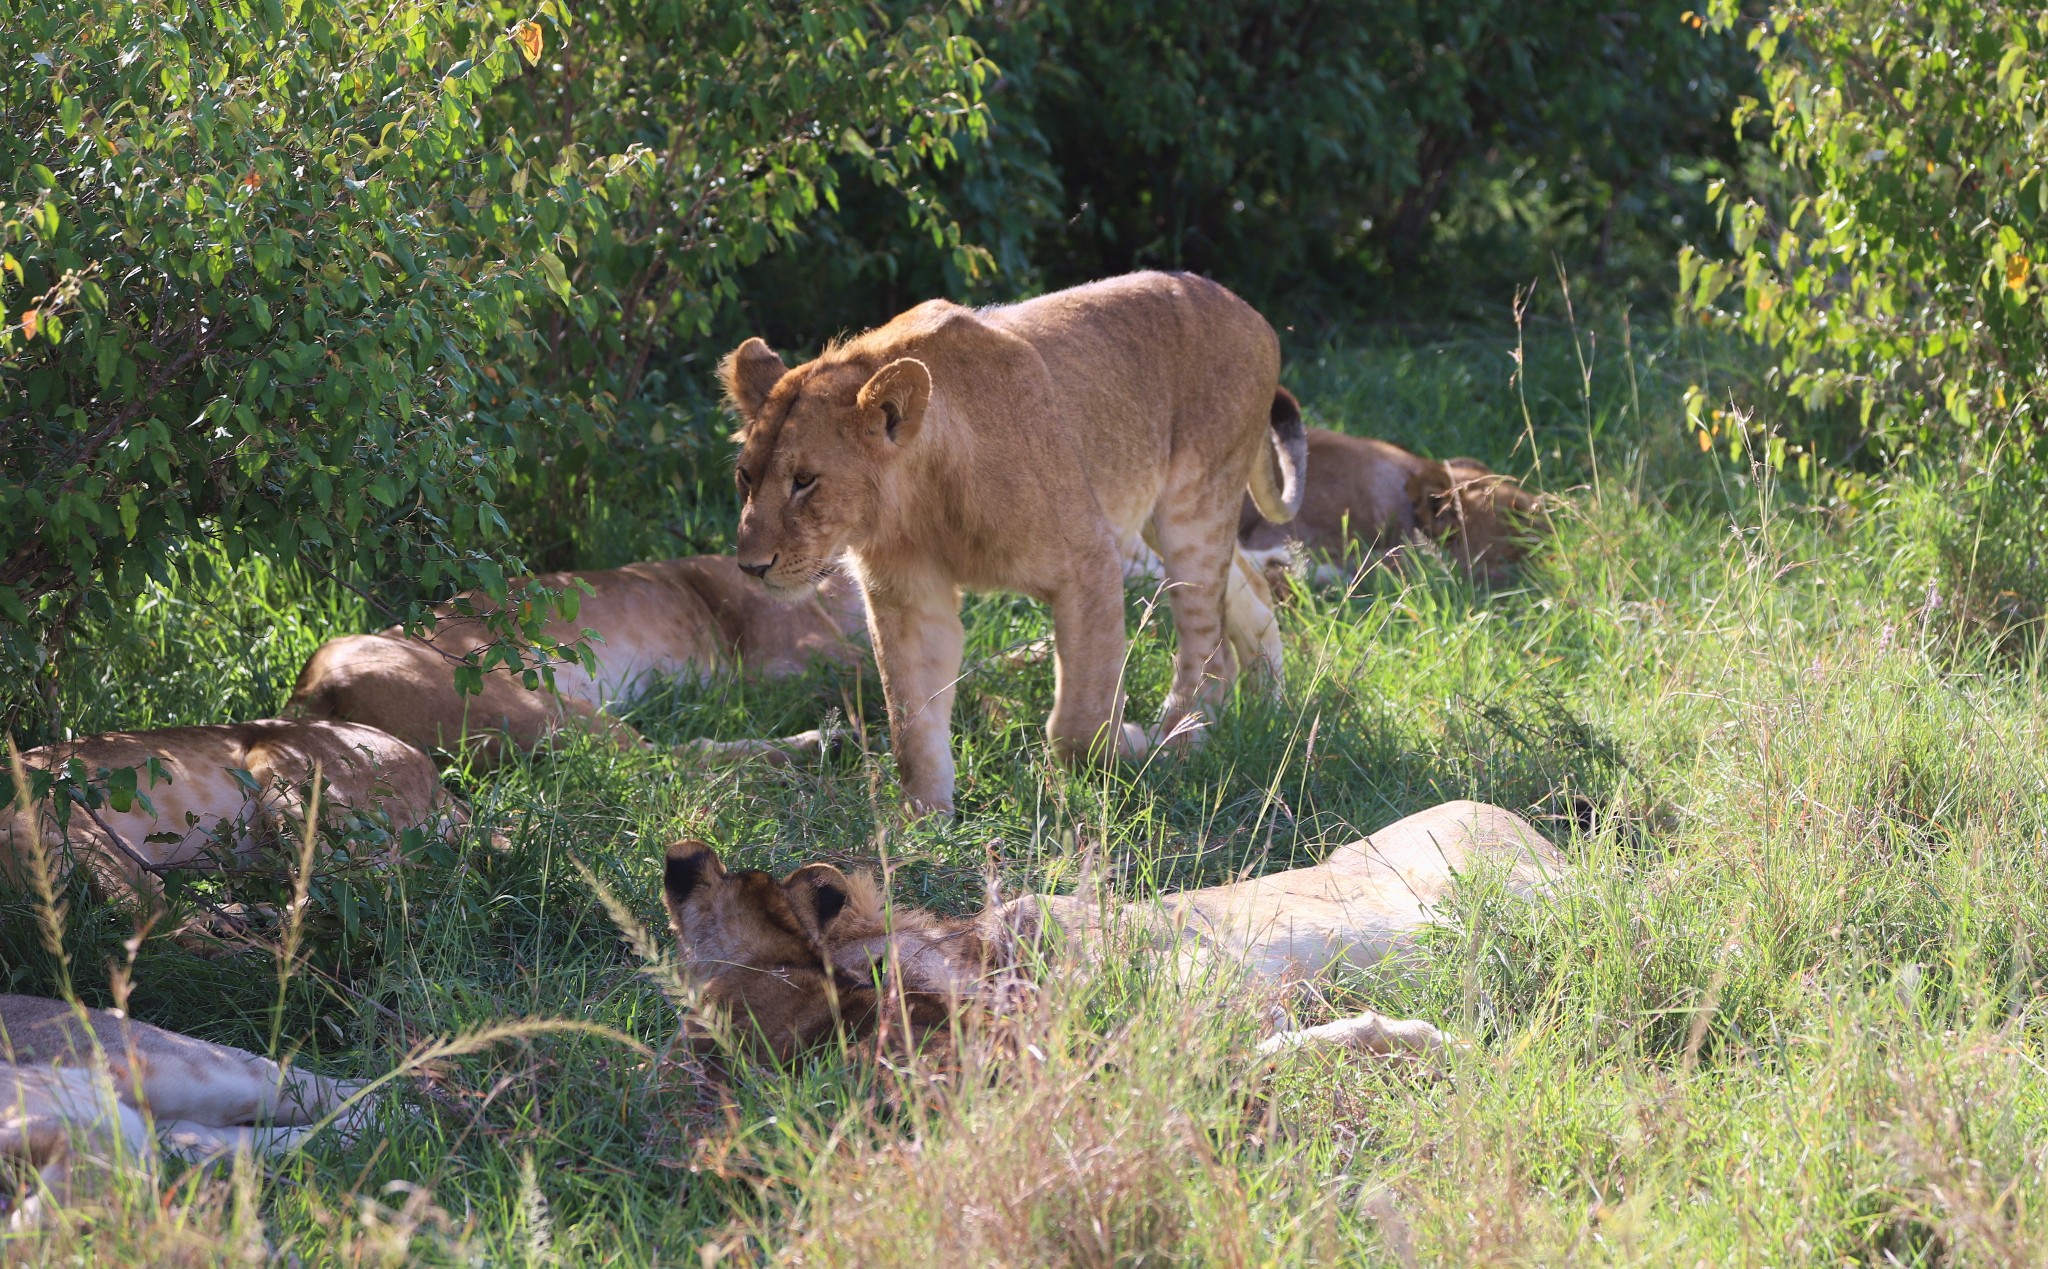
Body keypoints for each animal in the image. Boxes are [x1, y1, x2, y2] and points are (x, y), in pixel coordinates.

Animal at [720, 272, 1302, 818]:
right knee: (1247, 587)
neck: (921, 499)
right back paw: (1267, 705)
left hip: (1191, 510)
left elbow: (1079, 717)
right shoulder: (908, 598)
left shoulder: (1090, 560)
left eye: (804, 481)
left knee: (1205, 638)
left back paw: (1182, 736)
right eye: (746, 476)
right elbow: (913, 722)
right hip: (1166, 523)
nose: (750, 567)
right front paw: (923, 823)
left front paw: (1122, 750)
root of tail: (1247, 310)